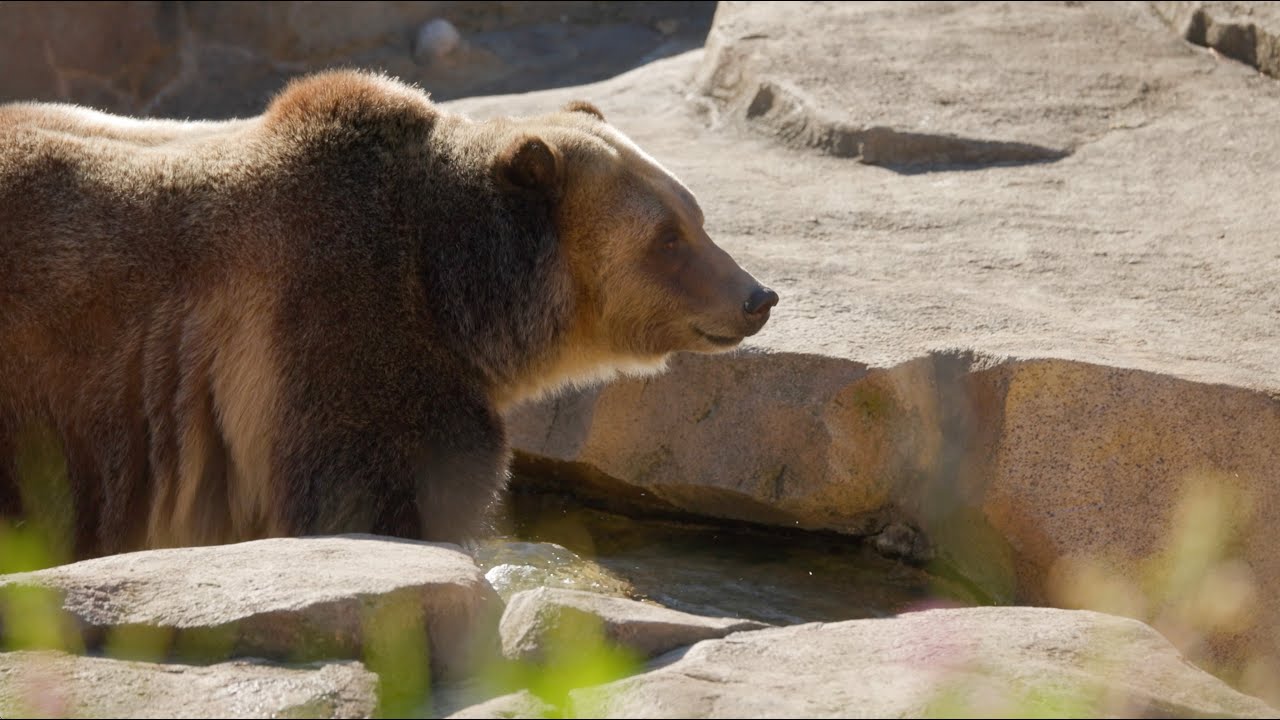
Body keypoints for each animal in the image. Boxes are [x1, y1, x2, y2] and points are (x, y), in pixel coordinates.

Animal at [0, 70, 778, 562]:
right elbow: (373, 490)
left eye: (695, 214)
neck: (455, 293)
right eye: (667, 238)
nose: (756, 297)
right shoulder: (332, 328)